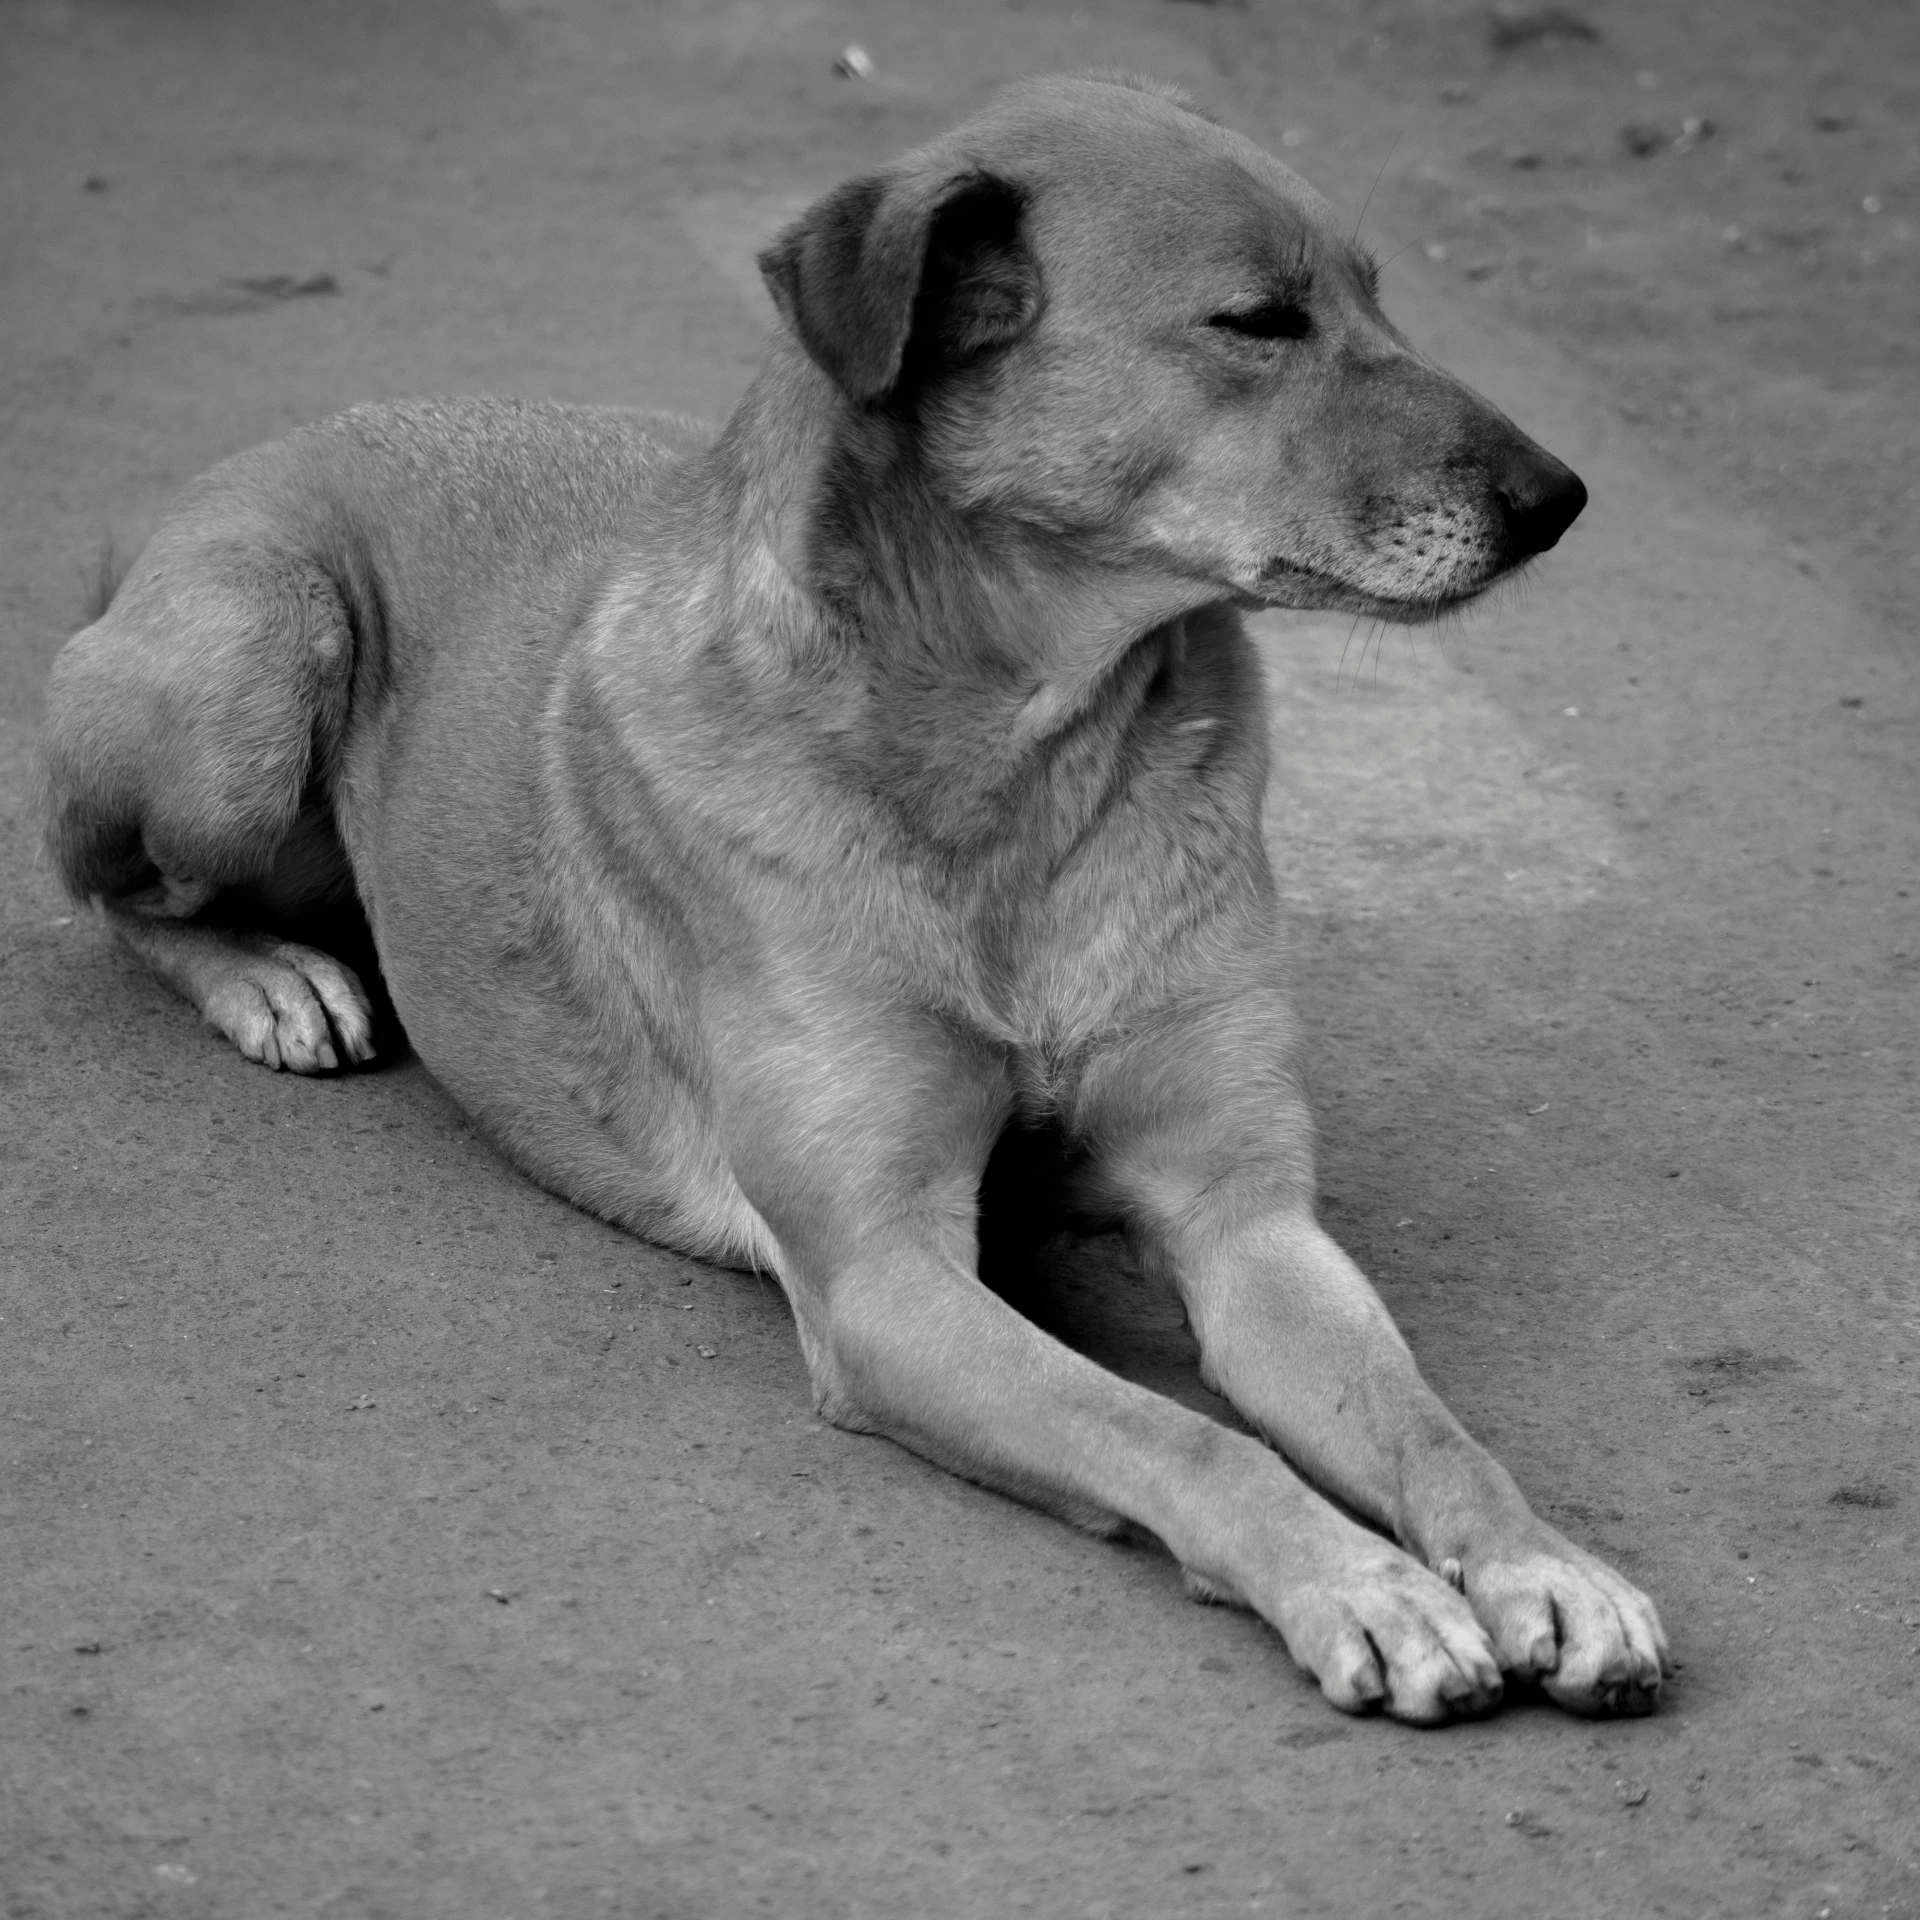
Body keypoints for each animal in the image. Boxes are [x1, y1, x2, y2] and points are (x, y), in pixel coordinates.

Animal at [45, 74, 1666, 1728]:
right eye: (1257, 321)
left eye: (1377, 298)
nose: (1560, 500)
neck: (1023, 766)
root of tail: (240, 470)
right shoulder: (884, 1273)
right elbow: (1186, 1439)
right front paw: (1363, 1586)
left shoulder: (1245, 1218)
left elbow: (1425, 1427)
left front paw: (1541, 1564)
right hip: (244, 677)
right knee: (105, 885)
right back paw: (270, 978)